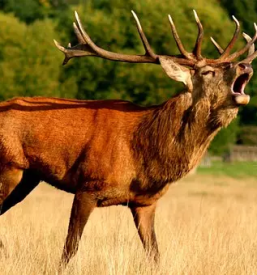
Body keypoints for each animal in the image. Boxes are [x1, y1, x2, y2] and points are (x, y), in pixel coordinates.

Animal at [0, 10, 255, 270]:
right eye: (207, 72)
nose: (245, 64)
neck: (143, 154)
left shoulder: (145, 202)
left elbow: (154, 254)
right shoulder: (87, 186)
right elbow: (70, 248)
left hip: (28, 178)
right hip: (9, 166)